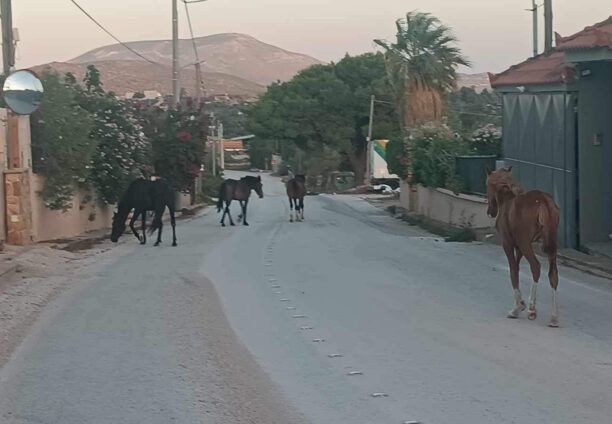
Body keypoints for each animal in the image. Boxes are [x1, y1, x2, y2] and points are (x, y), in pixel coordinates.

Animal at [488, 166, 560, 328]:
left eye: (487, 185)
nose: (490, 212)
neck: (506, 198)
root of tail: (544, 202)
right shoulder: (518, 247)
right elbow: (517, 268)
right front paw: (519, 305)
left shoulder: (508, 243)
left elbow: (513, 271)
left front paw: (517, 307)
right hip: (550, 243)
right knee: (553, 274)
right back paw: (554, 318)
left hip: (526, 243)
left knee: (536, 266)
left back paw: (532, 309)